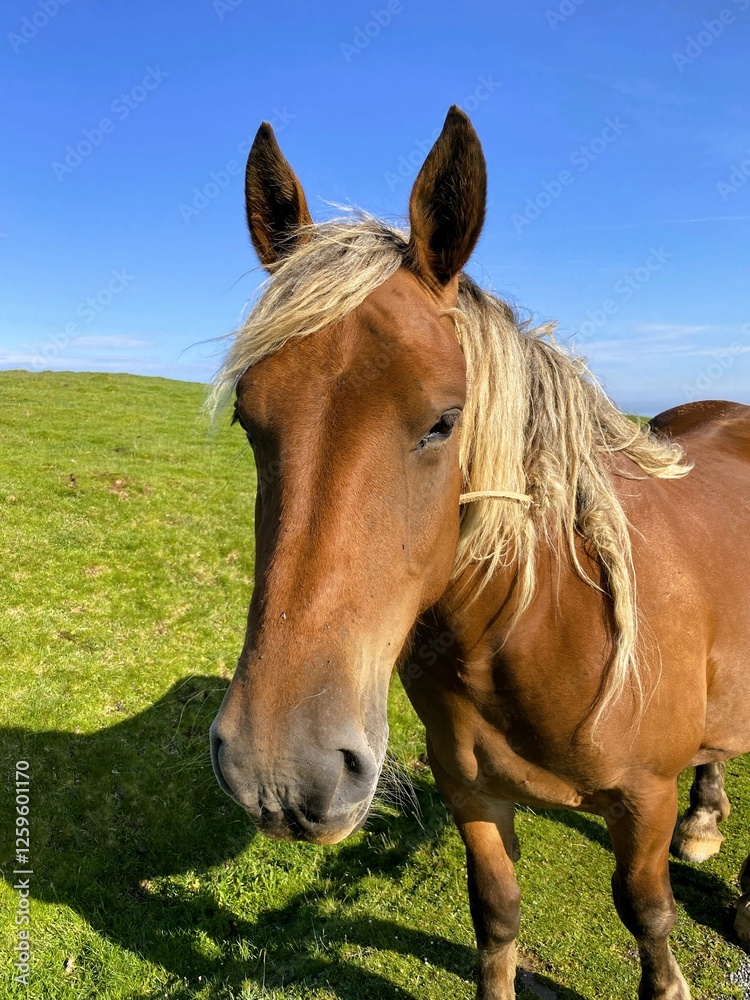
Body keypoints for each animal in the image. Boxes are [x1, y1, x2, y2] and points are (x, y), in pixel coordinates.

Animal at [209, 106, 750, 999]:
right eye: (249, 420)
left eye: (443, 420)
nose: (280, 772)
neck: (544, 626)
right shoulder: (472, 793)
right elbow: (495, 912)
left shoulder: (642, 803)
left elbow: (647, 914)